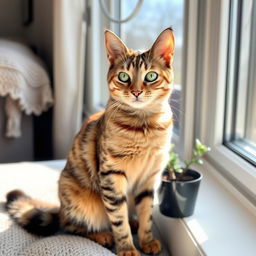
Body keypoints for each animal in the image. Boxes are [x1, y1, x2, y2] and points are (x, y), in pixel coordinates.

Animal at [6, 28, 175, 256]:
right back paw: (102, 235)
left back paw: (134, 223)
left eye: (151, 76)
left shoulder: (149, 178)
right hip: (79, 199)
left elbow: (146, 213)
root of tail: (60, 209)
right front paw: (127, 248)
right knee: (71, 226)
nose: (136, 92)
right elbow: (118, 220)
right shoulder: (112, 175)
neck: (144, 127)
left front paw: (147, 240)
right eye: (123, 76)